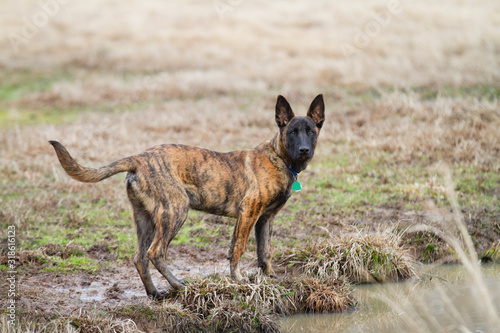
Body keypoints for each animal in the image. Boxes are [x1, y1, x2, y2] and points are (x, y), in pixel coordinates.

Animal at [49, 94, 324, 298]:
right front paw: (239, 281)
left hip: (146, 219)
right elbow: (238, 250)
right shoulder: (248, 214)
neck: (278, 157)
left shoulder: (265, 219)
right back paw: (178, 285)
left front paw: (270, 279)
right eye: (292, 132)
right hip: (176, 211)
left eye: (311, 131)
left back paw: (155, 293)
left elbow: (264, 253)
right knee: (155, 252)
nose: (304, 150)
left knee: (140, 257)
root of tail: (139, 158)